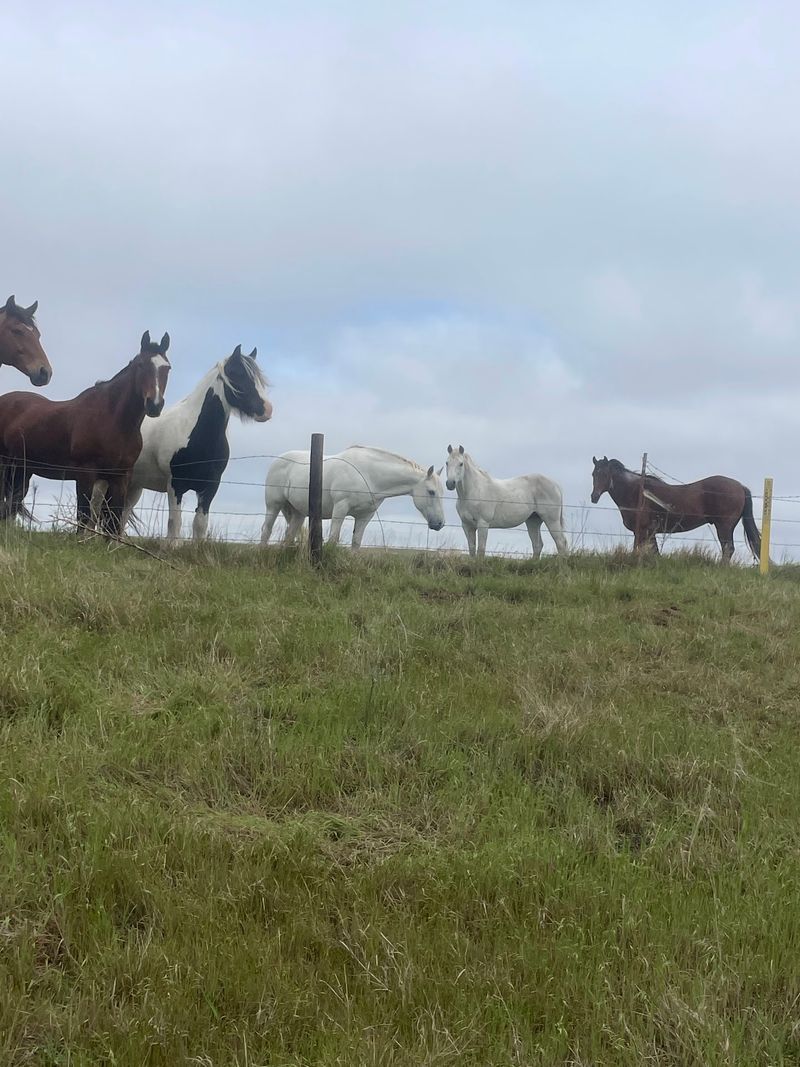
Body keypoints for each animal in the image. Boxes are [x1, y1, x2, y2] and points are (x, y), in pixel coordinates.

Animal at [0, 331, 171, 534]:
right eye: (141, 365)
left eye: (167, 368)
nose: (154, 405)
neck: (113, 420)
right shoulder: (86, 473)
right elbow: (84, 517)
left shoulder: (120, 477)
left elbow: (113, 522)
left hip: (20, 471)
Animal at [102, 345, 271, 542]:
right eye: (237, 374)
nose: (267, 409)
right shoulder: (176, 485)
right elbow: (175, 523)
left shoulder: (210, 487)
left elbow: (200, 524)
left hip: (133, 487)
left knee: (121, 515)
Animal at [261, 445, 445, 548]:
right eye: (431, 492)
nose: (440, 524)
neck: (368, 475)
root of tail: (279, 459)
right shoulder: (340, 508)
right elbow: (333, 539)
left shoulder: (365, 516)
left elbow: (356, 542)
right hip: (274, 505)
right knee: (266, 530)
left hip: (298, 512)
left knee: (289, 535)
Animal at [590, 456, 761, 563]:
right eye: (593, 474)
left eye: (605, 474)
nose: (594, 496)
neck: (637, 492)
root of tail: (740, 486)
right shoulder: (649, 532)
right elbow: (655, 552)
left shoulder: (642, 531)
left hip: (724, 526)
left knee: (728, 549)